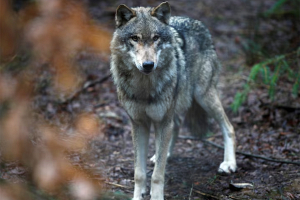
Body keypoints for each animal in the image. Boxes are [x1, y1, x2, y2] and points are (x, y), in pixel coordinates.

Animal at [109, 1, 237, 200]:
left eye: (155, 38)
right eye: (135, 38)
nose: (148, 65)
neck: (144, 87)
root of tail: (199, 23)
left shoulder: (162, 120)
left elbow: (157, 175)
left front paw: (156, 196)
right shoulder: (138, 123)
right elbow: (139, 173)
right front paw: (138, 195)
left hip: (203, 96)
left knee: (228, 127)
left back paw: (229, 163)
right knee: (175, 126)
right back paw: (162, 154)